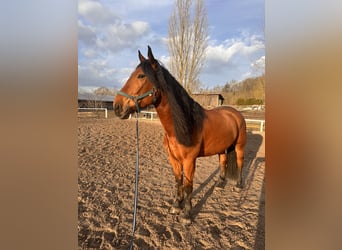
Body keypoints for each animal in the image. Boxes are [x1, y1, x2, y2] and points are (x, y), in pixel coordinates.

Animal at [114, 46, 246, 222]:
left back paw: (238, 185)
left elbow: (189, 185)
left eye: (141, 76)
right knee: (223, 162)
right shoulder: (173, 159)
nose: (117, 106)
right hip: (222, 148)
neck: (184, 125)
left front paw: (187, 214)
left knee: (240, 162)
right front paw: (176, 206)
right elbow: (178, 181)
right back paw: (220, 184)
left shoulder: (189, 161)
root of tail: (235, 113)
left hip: (239, 146)